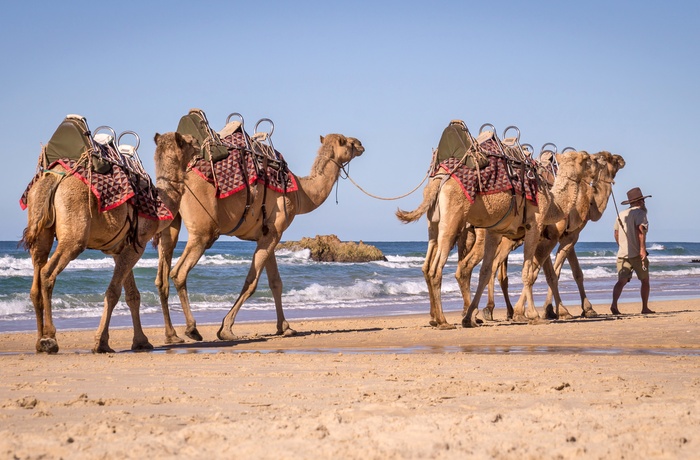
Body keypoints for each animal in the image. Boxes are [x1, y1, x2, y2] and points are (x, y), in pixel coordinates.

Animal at [21, 131, 196, 354]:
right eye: (189, 141)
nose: (198, 143)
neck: (159, 203)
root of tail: (55, 179)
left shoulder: (121, 249)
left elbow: (132, 295)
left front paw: (141, 342)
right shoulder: (138, 244)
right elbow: (113, 291)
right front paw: (101, 343)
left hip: (40, 227)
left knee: (36, 279)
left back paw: (39, 340)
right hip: (74, 236)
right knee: (47, 273)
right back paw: (50, 339)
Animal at [155, 133, 364, 342]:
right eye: (348, 142)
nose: (361, 144)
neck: (301, 193)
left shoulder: (268, 234)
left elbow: (276, 282)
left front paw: (285, 327)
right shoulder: (274, 232)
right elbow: (252, 282)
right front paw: (226, 330)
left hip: (171, 224)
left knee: (162, 278)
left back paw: (171, 335)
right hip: (202, 232)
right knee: (179, 273)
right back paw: (192, 329)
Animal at [396, 149, 588, 328]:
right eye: (585, 160)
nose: (590, 168)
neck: (552, 201)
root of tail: (439, 179)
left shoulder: (495, 231)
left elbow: (486, 271)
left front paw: (470, 317)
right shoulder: (536, 226)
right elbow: (528, 272)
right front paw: (533, 315)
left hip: (434, 222)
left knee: (431, 264)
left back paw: (441, 318)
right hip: (452, 218)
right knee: (437, 269)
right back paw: (443, 321)